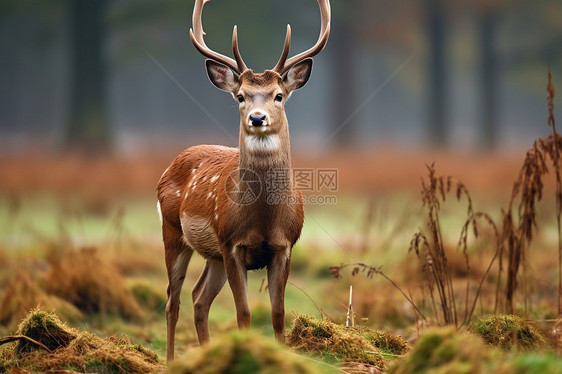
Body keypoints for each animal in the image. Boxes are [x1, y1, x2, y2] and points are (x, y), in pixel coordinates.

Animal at [154, 0, 328, 362]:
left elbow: (277, 313)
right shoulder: (232, 243)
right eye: (241, 96)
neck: (264, 218)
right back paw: (172, 360)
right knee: (173, 300)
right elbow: (244, 312)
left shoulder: (284, 246)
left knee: (198, 298)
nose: (257, 118)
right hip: (174, 232)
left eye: (278, 95)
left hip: (212, 254)